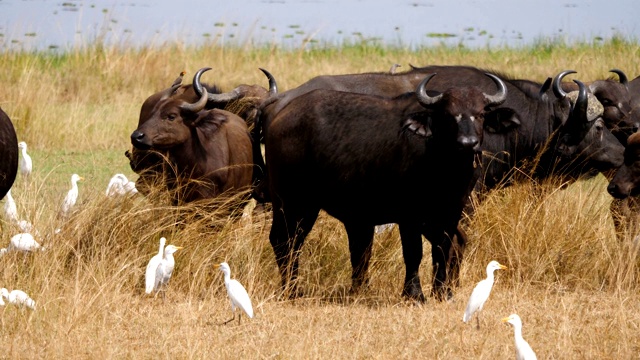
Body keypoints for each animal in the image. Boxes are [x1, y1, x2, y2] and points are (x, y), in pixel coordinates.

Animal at [264, 71, 510, 300]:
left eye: (480, 114)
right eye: (448, 115)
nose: (468, 143)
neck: (446, 168)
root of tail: (280, 117)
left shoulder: (451, 212)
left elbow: (442, 248)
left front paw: (442, 293)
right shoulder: (409, 215)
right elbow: (413, 252)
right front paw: (414, 294)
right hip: (291, 202)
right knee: (284, 240)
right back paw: (292, 290)